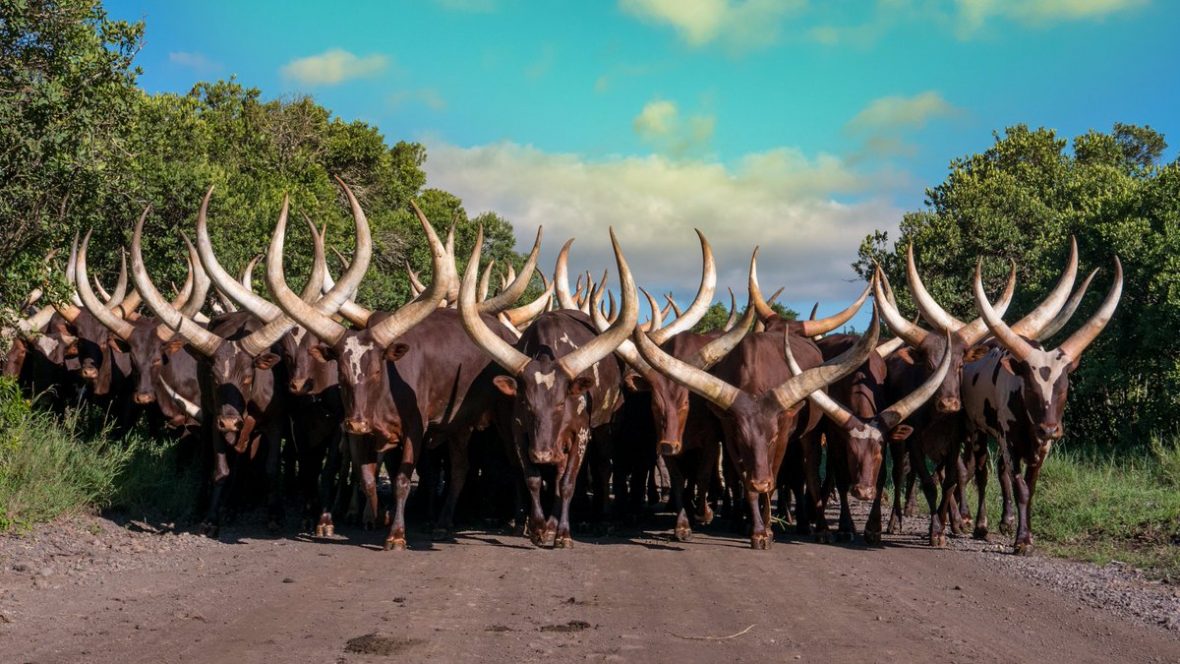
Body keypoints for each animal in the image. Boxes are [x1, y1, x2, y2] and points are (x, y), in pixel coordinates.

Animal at [962, 255, 1122, 554]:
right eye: (1031, 387)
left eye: (1064, 386)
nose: (1049, 429)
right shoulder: (1010, 443)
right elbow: (1020, 487)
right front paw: (1022, 541)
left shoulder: (1042, 448)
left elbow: (1031, 486)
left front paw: (1024, 533)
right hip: (976, 430)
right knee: (978, 472)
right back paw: (978, 525)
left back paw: (1003, 521)